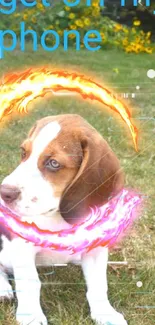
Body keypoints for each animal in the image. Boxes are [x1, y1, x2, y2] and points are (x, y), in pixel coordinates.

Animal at [0, 114, 127, 324]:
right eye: (23, 152)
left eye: (53, 163)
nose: (4, 193)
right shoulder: (22, 246)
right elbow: (30, 283)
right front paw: (31, 316)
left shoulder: (96, 247)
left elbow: (98, 284)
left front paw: (105, 313)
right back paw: (3, 288)